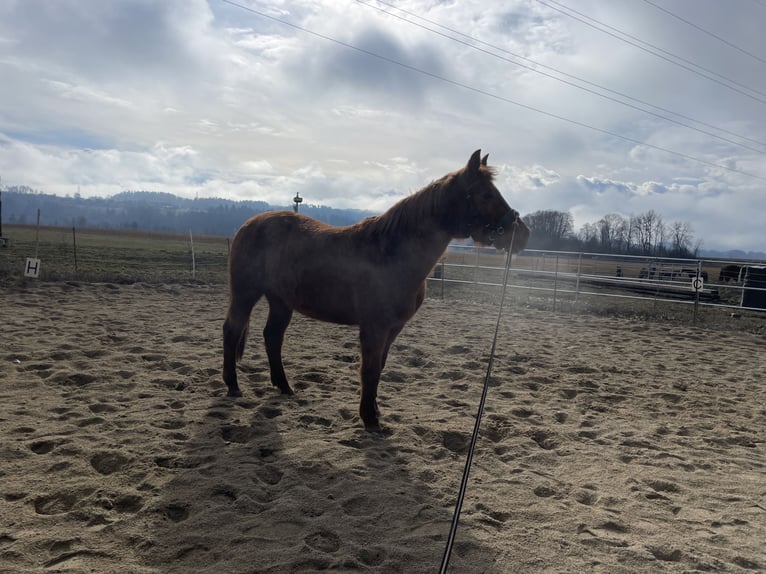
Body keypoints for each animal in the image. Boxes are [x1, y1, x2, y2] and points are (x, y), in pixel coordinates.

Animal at [222, 150, 531, 431]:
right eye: (486, 194)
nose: (522, 235)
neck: (392, 255)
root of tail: (248, 225)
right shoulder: (374, 327)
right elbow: (369, 370)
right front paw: (369, 419)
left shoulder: (393, 328)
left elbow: (379, 368)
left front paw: (375, 410)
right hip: (245, 294)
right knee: (232, 330)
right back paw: (233, 386)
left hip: (281, 301)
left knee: (272, 337)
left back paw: (284, 386)